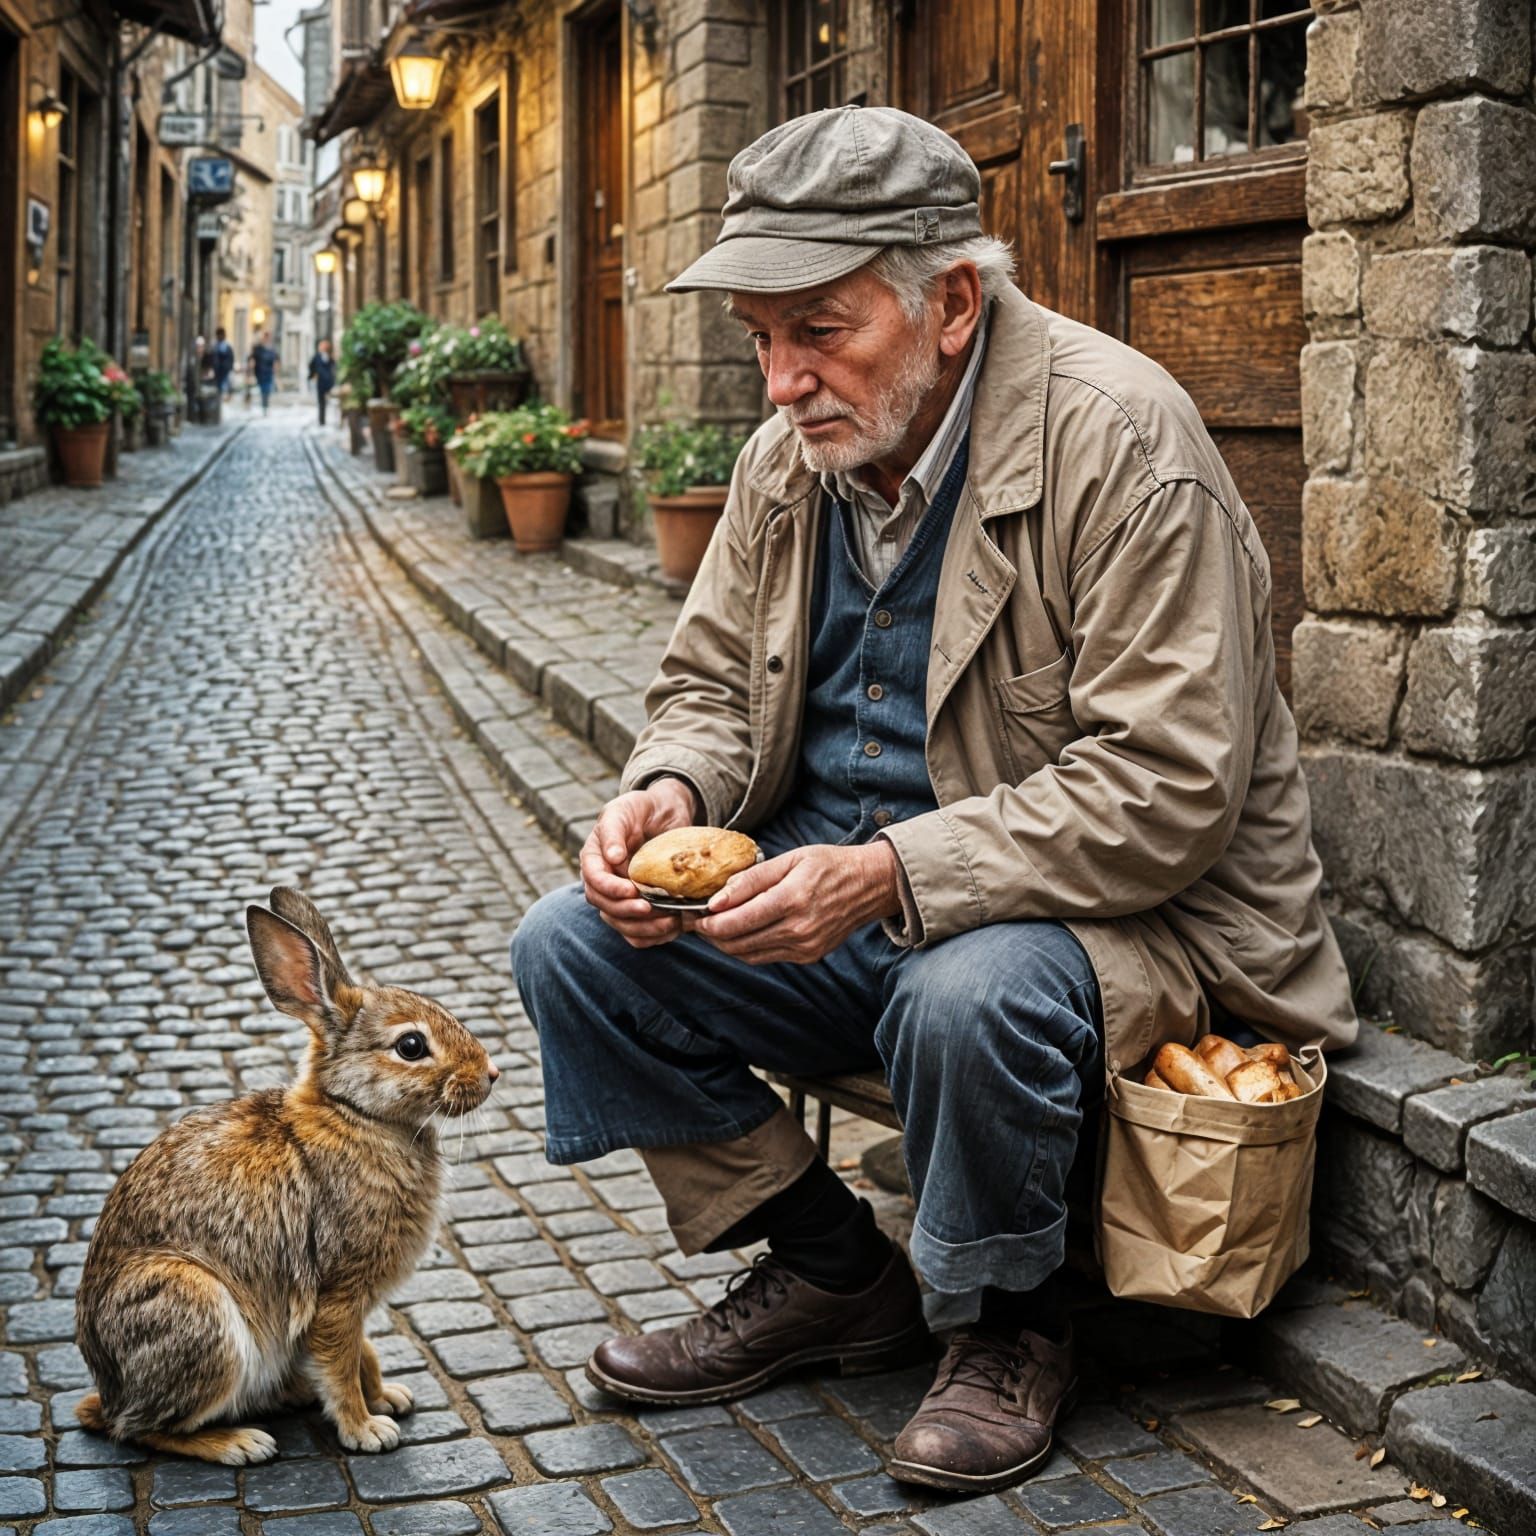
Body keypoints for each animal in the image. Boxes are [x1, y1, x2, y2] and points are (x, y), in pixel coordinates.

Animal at [73, 887, 499, 1465]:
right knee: (139, 1428)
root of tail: (109, 1390)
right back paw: (240, 1443)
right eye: (411, 1046)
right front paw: (367, 1430)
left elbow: (362, 1351)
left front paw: (386, 1396)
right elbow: (339, 1364)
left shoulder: (347, 1306)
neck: (355, 1113)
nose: (491, 1074)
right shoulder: (336, 1294)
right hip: (196, 1313)